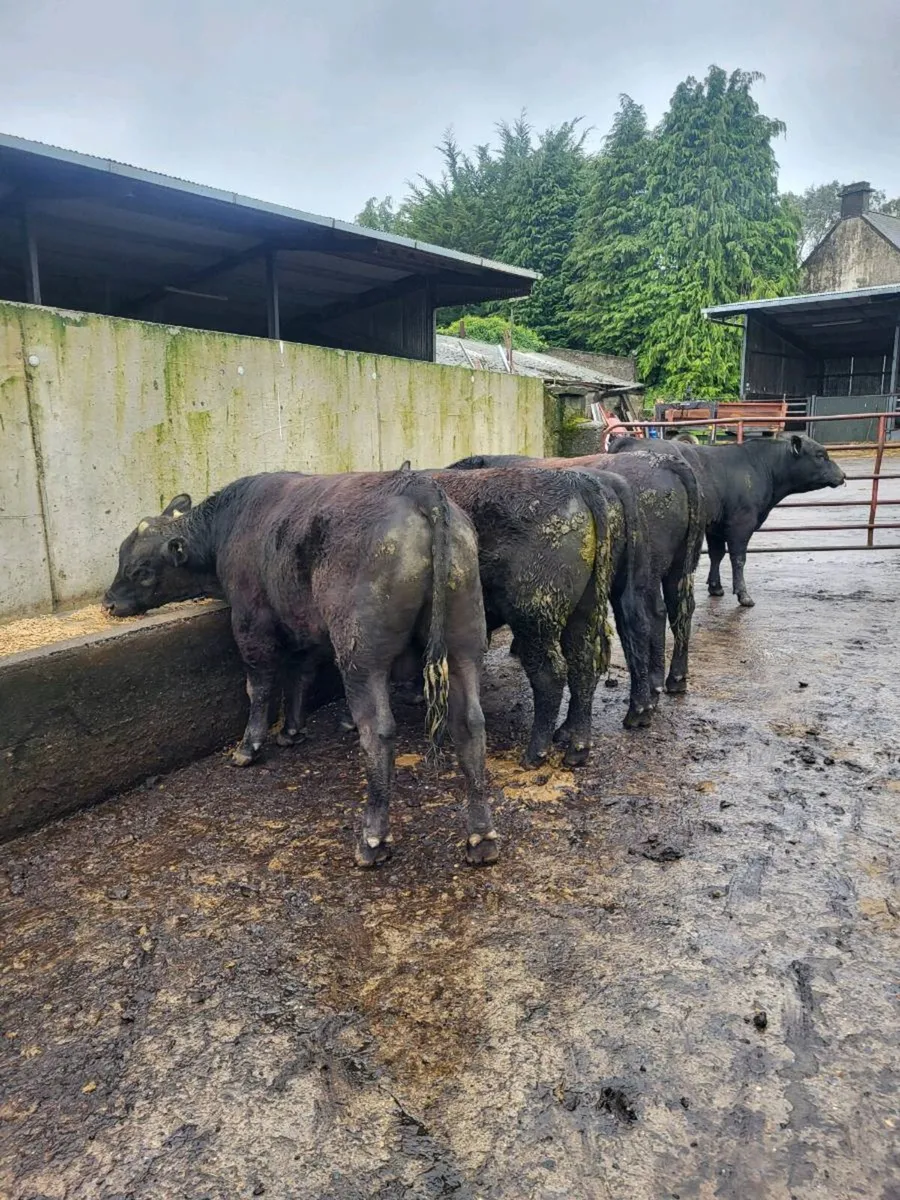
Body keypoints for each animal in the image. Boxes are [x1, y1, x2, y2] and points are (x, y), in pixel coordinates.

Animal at [102, 468, 497, 868]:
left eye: (141, 571)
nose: (108, 603)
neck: (233, 522)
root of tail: (419, 489)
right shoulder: (302, 622)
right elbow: (301, 674)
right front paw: (292, 729)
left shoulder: (251, 621)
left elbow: (259, 685)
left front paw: (249, 746)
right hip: (463, 645)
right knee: (470, 724)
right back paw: (480, 837)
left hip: (362, 659)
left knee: (379, 732)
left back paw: (372, 838)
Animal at [448, 451, 704, 705]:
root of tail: (665, 461)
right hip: (670, 570)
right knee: (672, 611)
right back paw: (671, 682)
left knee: (651, 615)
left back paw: (654, 686)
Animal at [607, 433, 846, 607]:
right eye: (820, 455)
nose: (843, 476)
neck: (759, 466)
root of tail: (631, 440)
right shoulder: (742, 523)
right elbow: (738, 558)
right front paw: (743, 595)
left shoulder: (715, 525)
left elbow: (717, 554)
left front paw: (715, 587)